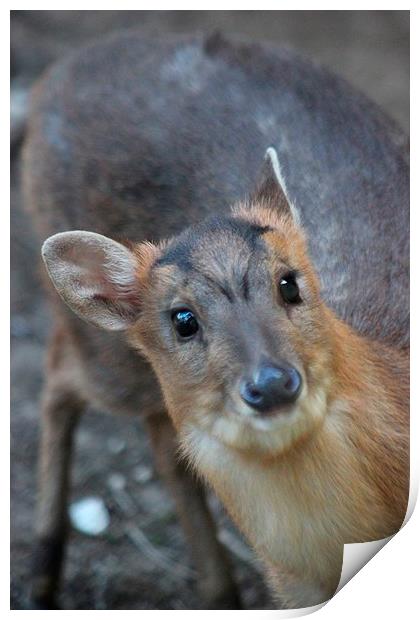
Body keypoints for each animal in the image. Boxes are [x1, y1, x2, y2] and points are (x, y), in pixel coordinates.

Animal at [21, 31, 408, 608]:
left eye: (289, 282)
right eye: (183, 319)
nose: (271, 384)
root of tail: (58, 72)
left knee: (157, 438)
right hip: (110, 363)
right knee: (62, 373)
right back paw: (44, 572)